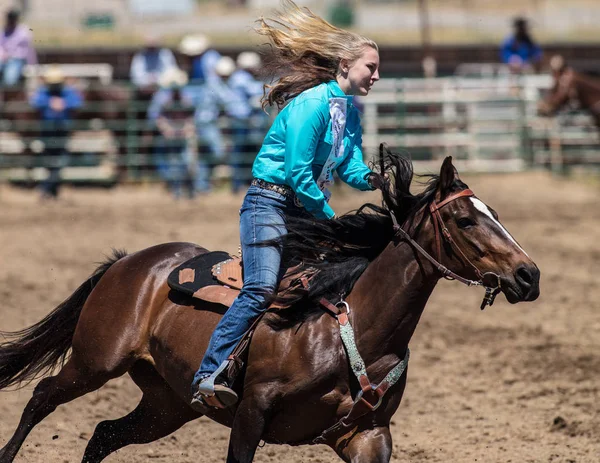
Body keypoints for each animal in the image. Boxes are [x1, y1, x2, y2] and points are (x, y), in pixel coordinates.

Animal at [0, 154, 540, 462]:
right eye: (465, 219)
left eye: (496, 213)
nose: (529, 275)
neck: (350, 330)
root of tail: (130, 261)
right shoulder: (250, 415)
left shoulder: (369, 435)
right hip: (96, 362)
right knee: (42, 397)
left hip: (167, 404)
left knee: (103, 435)